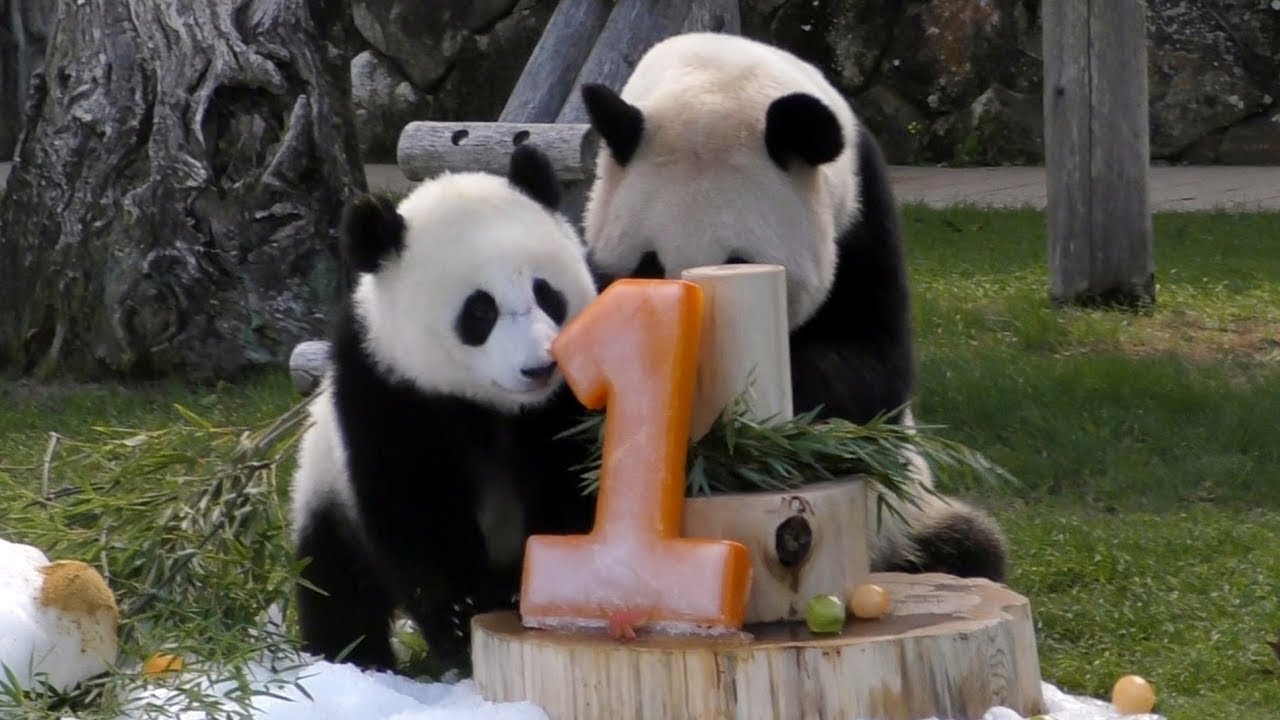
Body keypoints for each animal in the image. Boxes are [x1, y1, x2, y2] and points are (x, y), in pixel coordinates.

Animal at [288, 144, 599, 675]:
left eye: (546, 293)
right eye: (480, 311)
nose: (541, 367)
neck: (492, 406)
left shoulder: (566, 399)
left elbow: (572, 477)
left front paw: (537, 585)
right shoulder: (386, 385)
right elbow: (416, 505)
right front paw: (458, 620)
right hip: (323, 487)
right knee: (335, 582)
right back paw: (353, 658)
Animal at [576, 32, 1008, 583]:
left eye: (738, 265)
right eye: (649, 266)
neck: (718, 72)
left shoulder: (862, 220)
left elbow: (871, 370)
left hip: (906, 512)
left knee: (969, 548)